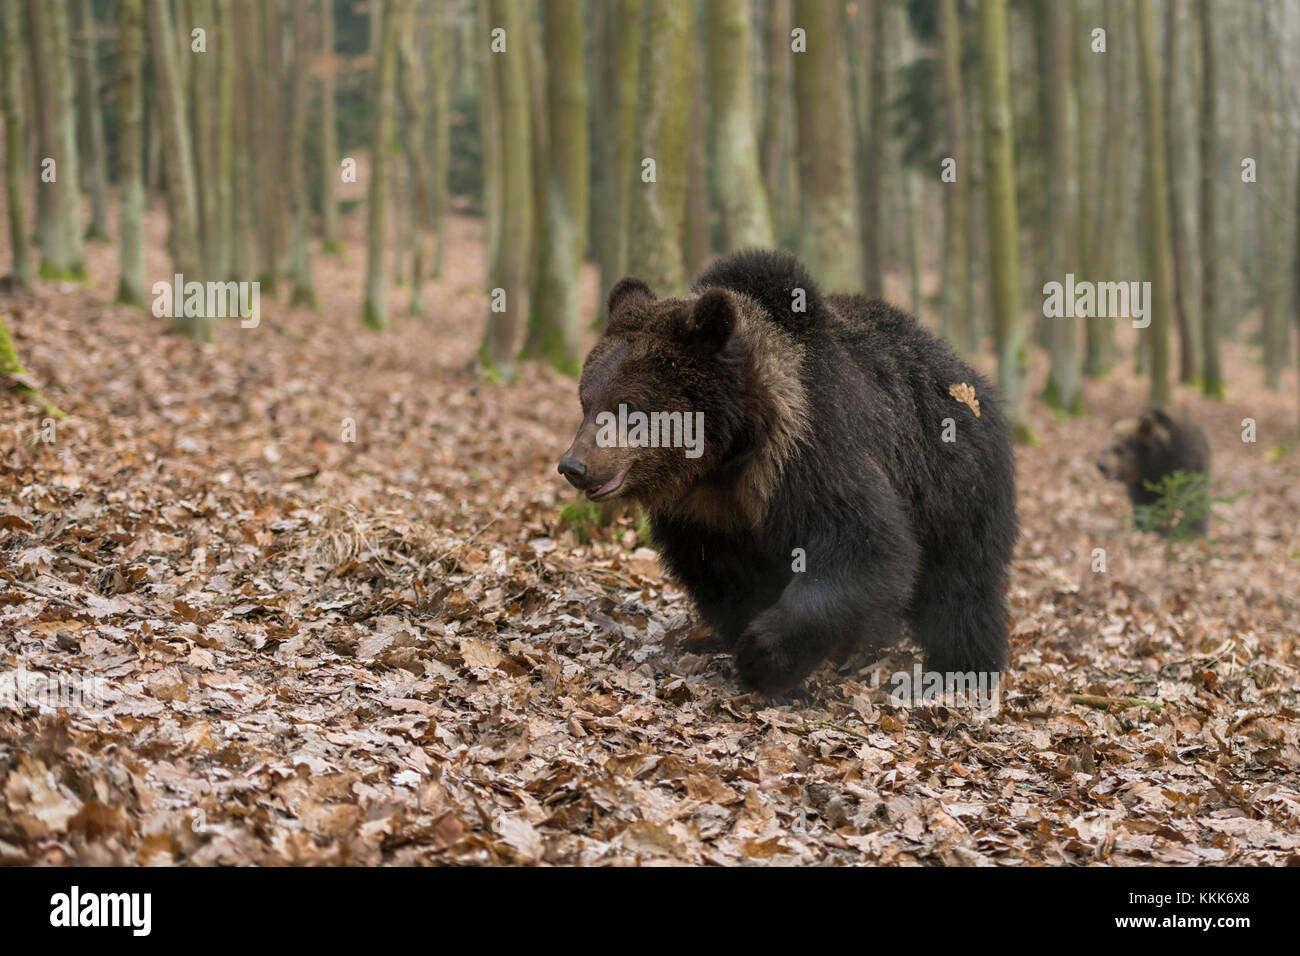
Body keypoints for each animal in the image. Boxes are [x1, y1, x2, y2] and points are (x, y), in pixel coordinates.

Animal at [553, 247, 1019, 697]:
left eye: (629, 407)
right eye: (586, 401)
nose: (573, 465)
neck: (727, 451)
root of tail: (969, 375)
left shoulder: (808, 452)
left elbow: (864, 547)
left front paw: (764, 653)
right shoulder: (706, 512)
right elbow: (724, 573)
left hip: (952, 481)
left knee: (961, 584)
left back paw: (960, 669)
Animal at [1102, 405, 1211, 535]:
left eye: (1118, 449)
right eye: (1104, 448)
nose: (1100, 465)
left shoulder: (1182, 466)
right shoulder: (1141, 485)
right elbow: (1142, 505)